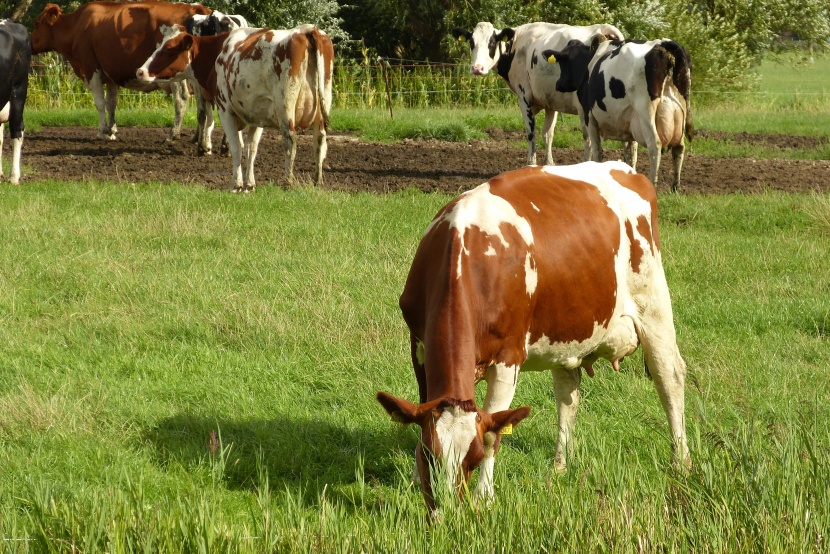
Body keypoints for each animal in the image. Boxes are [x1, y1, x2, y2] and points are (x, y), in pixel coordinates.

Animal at [31, 1, 214, 142]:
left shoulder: (91, 68)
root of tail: (195, 7)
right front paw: (111, 131)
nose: (30, 44)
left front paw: (102, 131)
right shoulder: (111, 75)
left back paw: (173, 134)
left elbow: (100, 103)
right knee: (201, 103)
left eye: (37, 23)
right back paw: (196, 138)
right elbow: (111, 103)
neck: (77, 25)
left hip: (175, 75)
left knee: (181, 99)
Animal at [135, 23, 334, 191]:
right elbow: (251, 149)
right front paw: (249, 184)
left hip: (285, 107)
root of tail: (306, 30)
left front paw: (236, 185)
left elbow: (236, 147)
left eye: (169, 49)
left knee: (290, 141)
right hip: (322, 105)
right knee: (320, 140)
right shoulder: (256, 115)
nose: (140, 71)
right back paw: (318, 180)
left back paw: (288, 181)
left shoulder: (226, 110)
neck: (217, 53)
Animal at [380, 160, 692, 512]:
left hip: (652, 303)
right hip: (568, 329)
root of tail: (625, 169)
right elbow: (420, 409)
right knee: (568, 393)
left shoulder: (508, 358)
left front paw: (485, 496)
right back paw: (560, 465)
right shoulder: (418, 345)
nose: (446, 511)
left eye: (473, 460)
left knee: (669, 376)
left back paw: (681, 461)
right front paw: (415, 480)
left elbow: (494, 432)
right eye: (430, 456)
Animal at [452, 22, 628, 165]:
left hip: (584, 110)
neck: (518, 46)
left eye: (492, 42)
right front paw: (548, 164)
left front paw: (531, 163)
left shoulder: (524, 97)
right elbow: (548, 134)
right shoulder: (550, 101)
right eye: (471, 43)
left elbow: (531, 133)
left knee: (589, 139)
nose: (477, 68)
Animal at [544, 37, 696, 191]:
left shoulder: (589, 117)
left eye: (563, 62)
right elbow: (631, 154)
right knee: (679, 148)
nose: (558, 84)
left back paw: (652, 183)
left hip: (645, 113)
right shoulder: (629, 123)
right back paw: (675, 187)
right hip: (679, 114)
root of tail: (663, 43)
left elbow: (596, 149)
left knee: (655, 146)